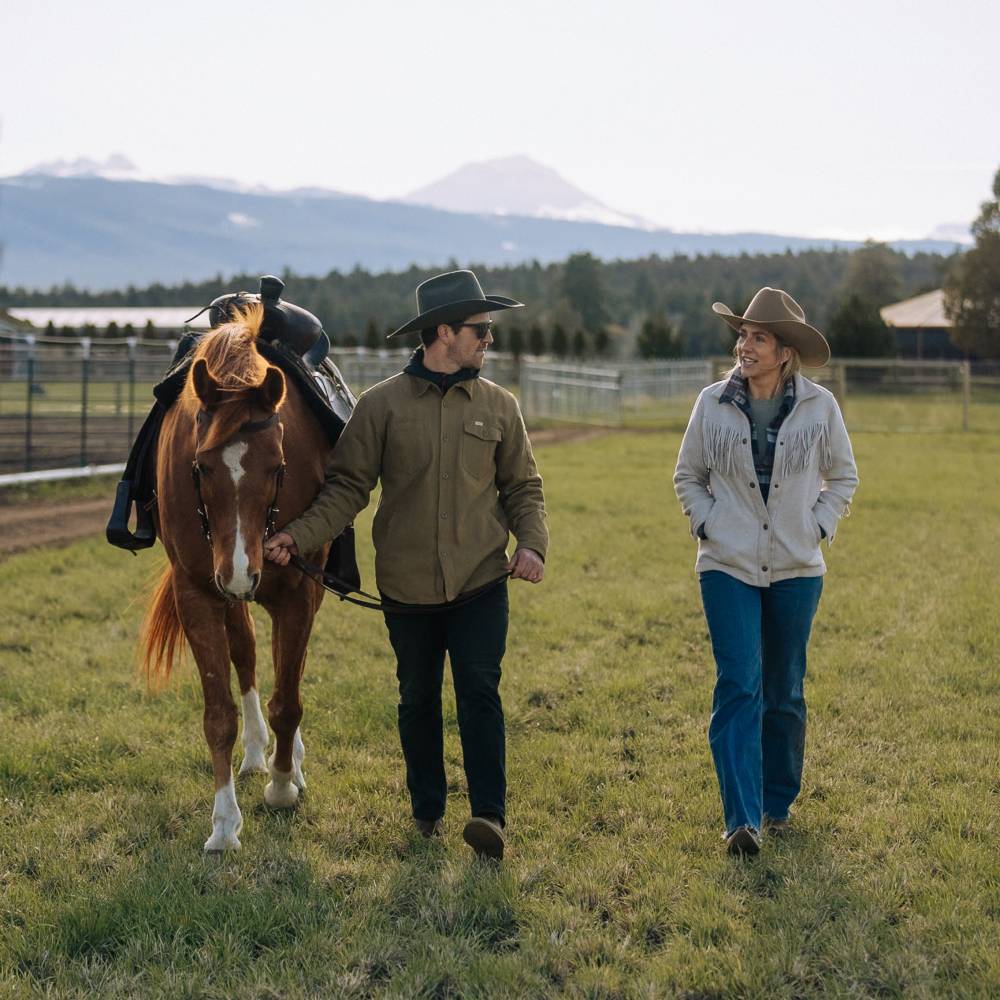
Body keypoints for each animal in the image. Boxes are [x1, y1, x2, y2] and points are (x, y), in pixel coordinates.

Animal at [141, 304, 330, 852]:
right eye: (200, 466)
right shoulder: (199, 592)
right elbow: (219, 714)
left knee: (288, 667)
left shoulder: (298, 591)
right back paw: (254, 753)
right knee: (246, 652)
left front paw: (283, 786)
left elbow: (288, 699)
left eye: (279, 465)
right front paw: (224, 824)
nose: (244, 570)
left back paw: (288, 763)